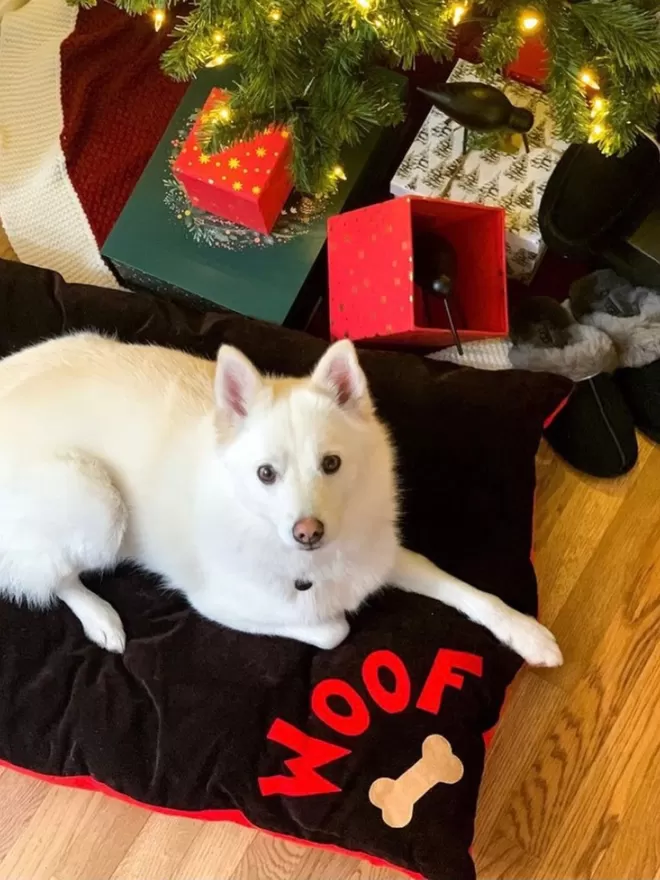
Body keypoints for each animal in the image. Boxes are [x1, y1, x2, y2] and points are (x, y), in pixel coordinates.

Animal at [0, 334, 560, 664]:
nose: (307, 532)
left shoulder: (380, 553)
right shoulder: (217, 604)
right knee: (45, 575)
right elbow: (331, 628)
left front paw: (525, 632)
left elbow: (468, 591)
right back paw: (100, 617)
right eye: (265, 474)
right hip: (96, 498)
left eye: (331, 464)